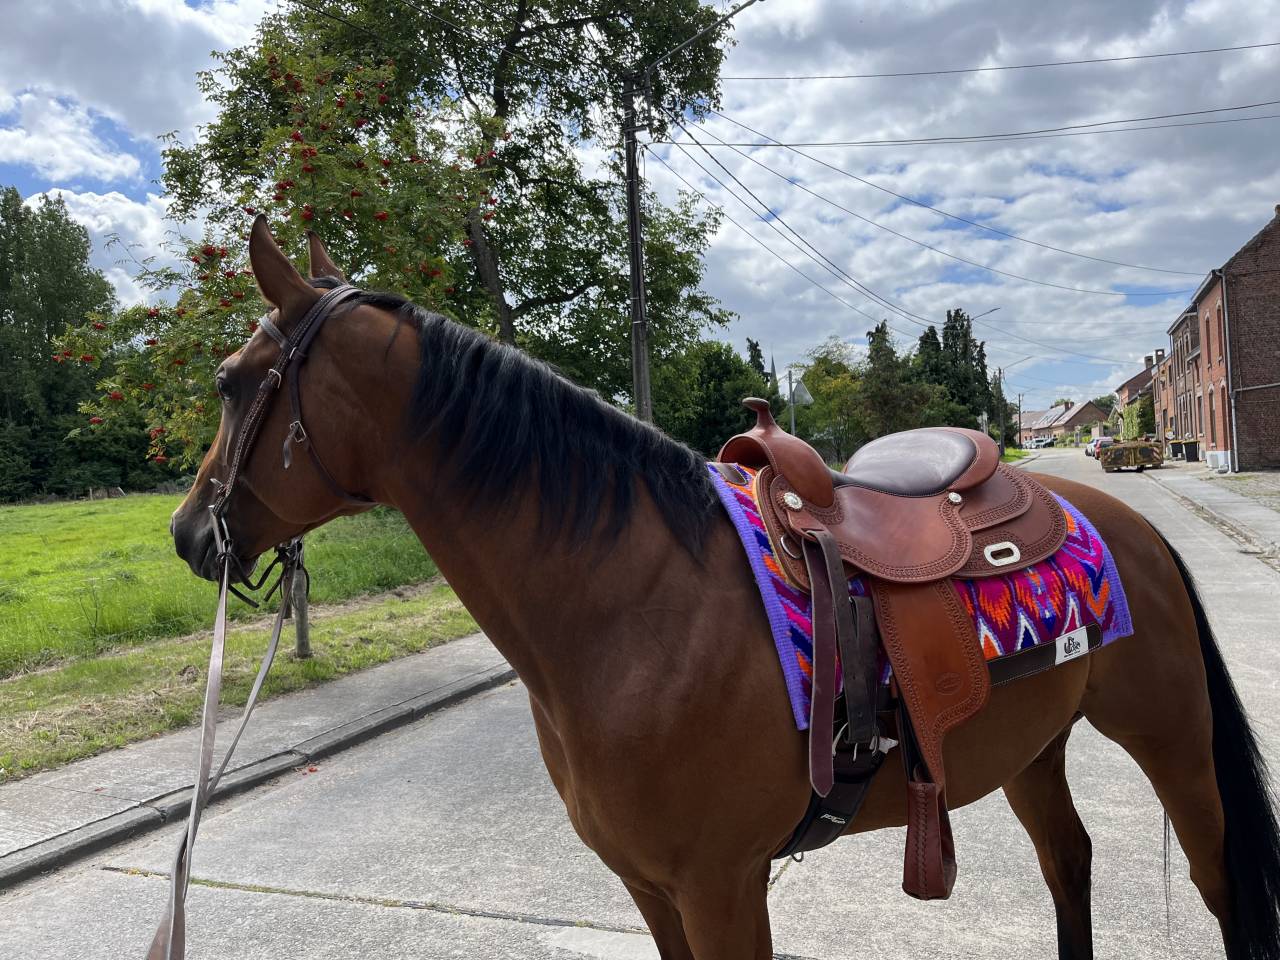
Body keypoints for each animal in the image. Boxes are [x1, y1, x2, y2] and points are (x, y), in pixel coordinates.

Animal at [169, 217, 1280, 960]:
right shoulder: (653, 890)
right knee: (1068, 863)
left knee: (1220, 880)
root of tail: (1125, 520)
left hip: (1169, 737)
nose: (189, 534)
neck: (632, 610)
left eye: (229, 381)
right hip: (1031, 746)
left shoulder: (721, 888)